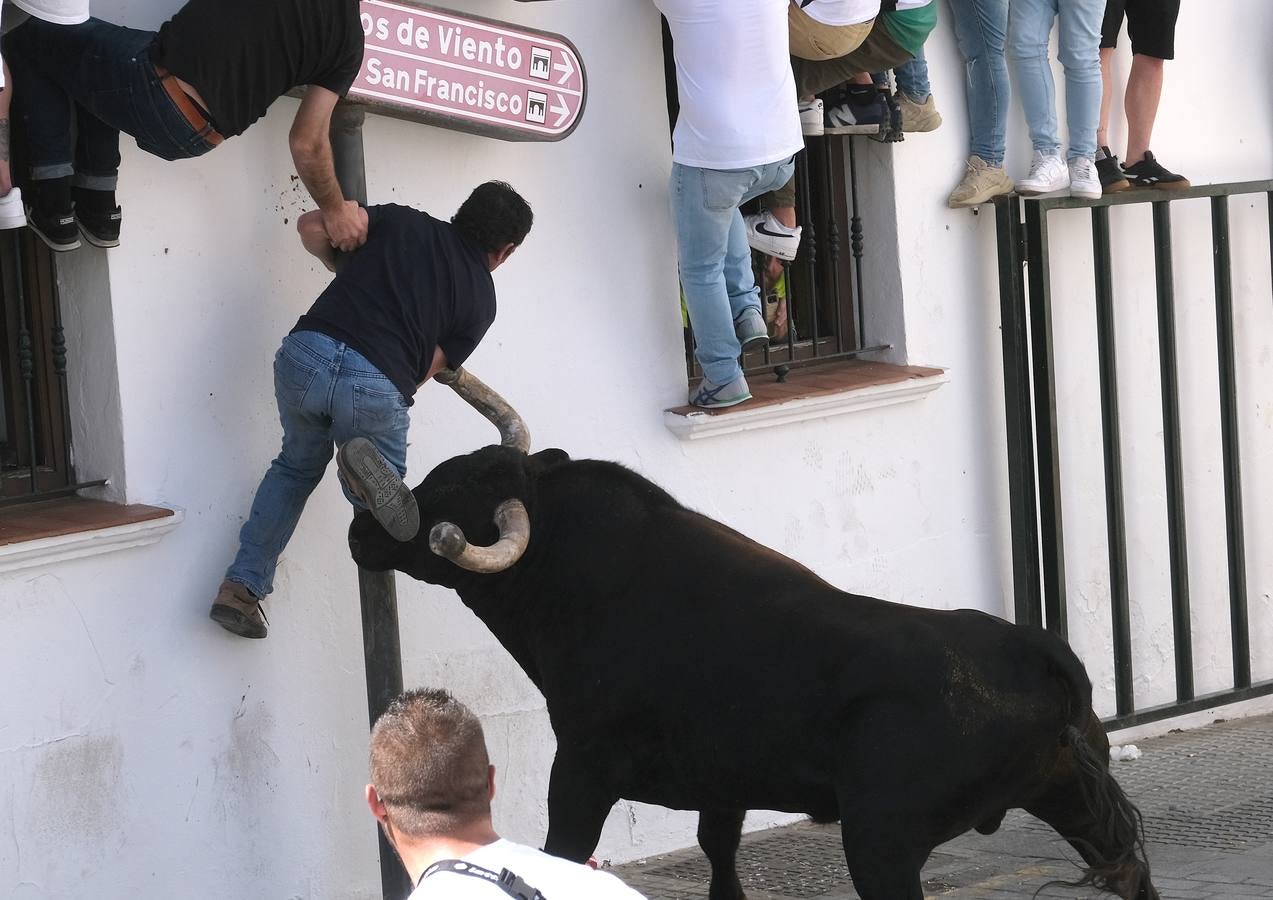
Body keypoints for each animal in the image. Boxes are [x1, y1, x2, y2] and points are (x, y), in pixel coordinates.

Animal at [346, 445, 1155, 900]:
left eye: (458, 494)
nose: (360, 527)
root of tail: (1033, 649)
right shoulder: (724, 783)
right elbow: (720, 861)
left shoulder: (581, 764)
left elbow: (565, 850)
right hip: (1074, 799)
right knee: (1133, 874)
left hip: (881, 838)